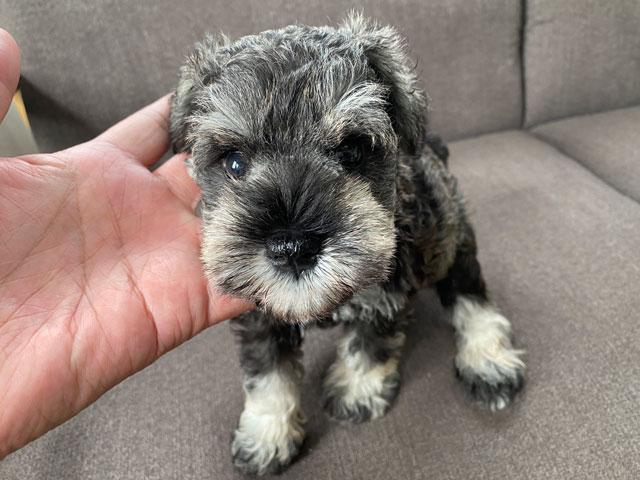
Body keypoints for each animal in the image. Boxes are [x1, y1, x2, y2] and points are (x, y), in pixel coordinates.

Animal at [169, 14, 526, 475]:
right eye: (233, 161)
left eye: (352, 150)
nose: (292, 247)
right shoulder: (259, 315)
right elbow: (268, 376)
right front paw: (266, 436)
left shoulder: (388, 292)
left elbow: (369, 345)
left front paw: (357, 392)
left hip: (451, 241)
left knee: (471, 297)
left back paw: (488, 361)